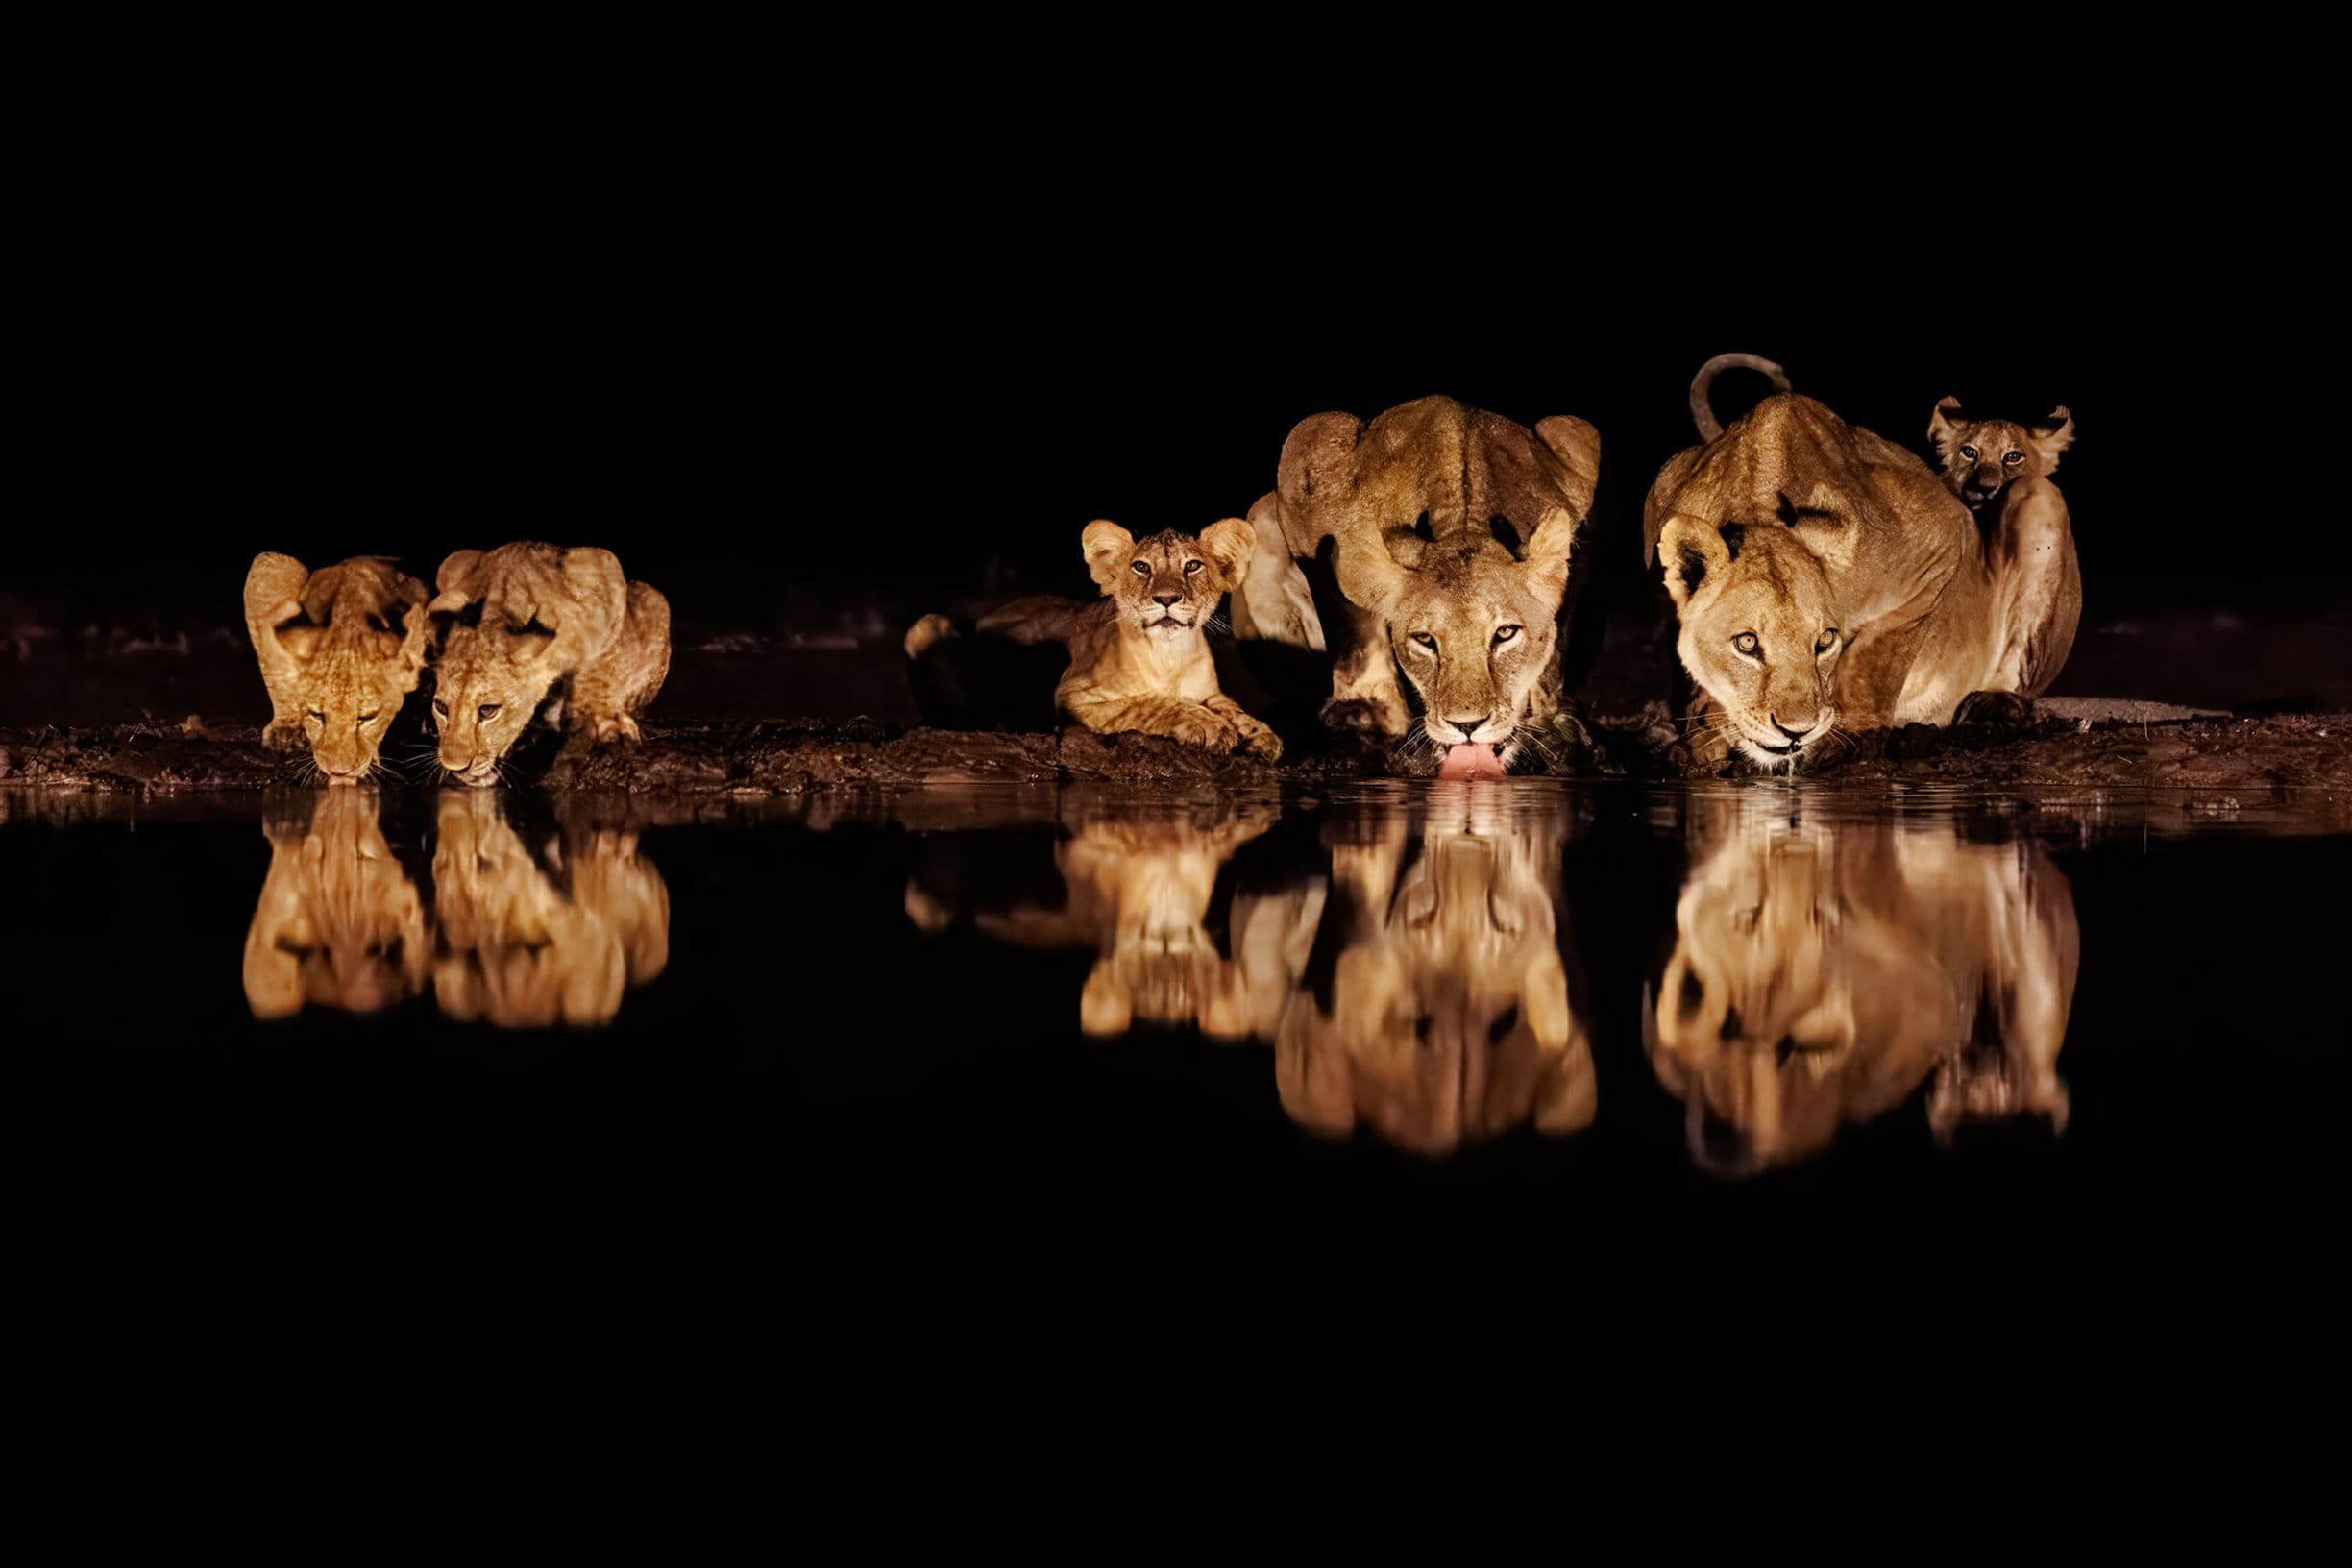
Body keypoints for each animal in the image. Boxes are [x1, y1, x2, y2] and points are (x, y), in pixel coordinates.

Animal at [427, 543, 670, 787]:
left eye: (488, 710)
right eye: (441, 708)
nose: (455, 767)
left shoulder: (604, 570)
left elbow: (602, 661)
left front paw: (607, 720)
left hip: (654, 598)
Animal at [907, 519, 1279, 759]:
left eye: (1192, 566)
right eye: (1141, 567)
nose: (1167, 598)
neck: (1168, 655)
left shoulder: (1211, 691)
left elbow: (1232, 707)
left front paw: (1260, 735)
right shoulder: (1073, 695)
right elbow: (1149, 703)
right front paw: (1207, 725)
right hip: (927, 626)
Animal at [1233, 395, 1600, 778]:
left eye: (1505, 633)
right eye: (1424, 639)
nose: (1466, 726)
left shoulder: (1579, 455)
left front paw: (1556, 728)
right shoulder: (1309, 456)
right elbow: (1353, 631)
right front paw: (1368, 713)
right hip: (1259, 517)